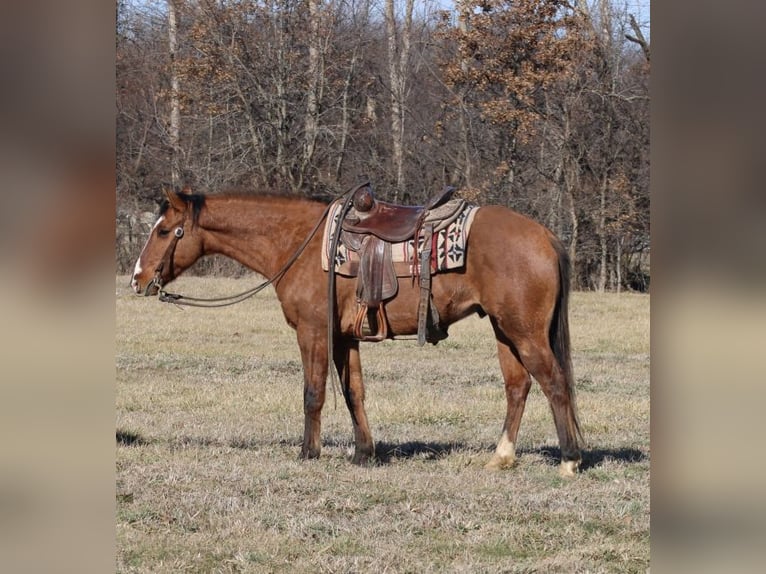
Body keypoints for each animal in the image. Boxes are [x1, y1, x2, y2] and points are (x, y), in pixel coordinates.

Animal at [130, 187, 583, 476]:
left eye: (164, 231)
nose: (138, 278)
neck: (299, 242)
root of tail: (545, 236)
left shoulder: (313, 332)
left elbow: (313, 393)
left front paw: (308, 453)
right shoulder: (344, 338)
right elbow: (354, 393)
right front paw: (364, 453)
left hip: (525, 332)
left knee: (555, 383)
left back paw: (569, 460)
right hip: (505, 331)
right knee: (518, 387)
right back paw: (501, 457)